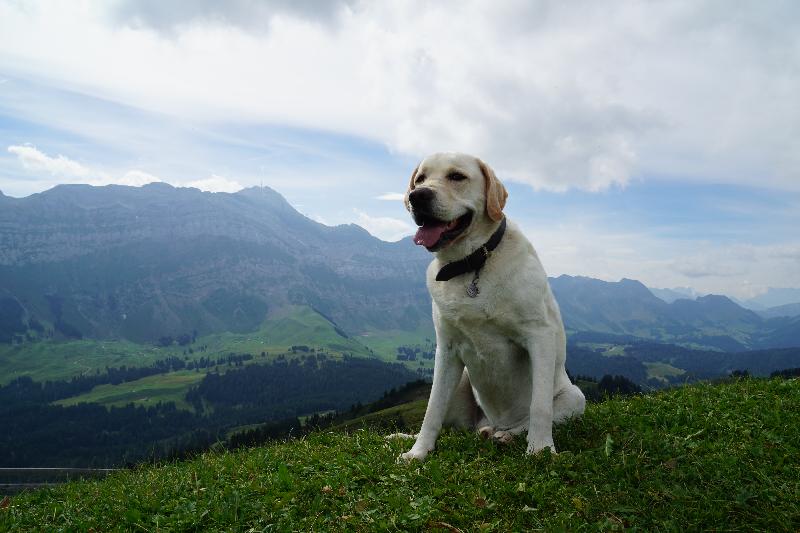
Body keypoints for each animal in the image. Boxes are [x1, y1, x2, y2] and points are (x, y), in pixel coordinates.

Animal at [396, 152, 585, 461]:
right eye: (420, 179)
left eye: (457, 176)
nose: (418, 196)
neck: (472, 263)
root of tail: (492, 422)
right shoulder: (446, 349)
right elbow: (432, 409)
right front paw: (418, 452)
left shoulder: (539, 336)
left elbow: (539, 406)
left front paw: (541, 449)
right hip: (462, 381)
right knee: (453, 424)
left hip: (575, 397)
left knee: (527, 421)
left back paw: (506, 436)